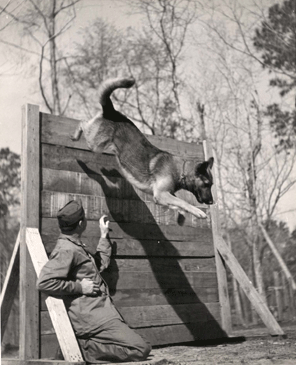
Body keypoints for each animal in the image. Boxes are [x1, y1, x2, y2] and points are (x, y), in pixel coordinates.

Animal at [71, 77, 215, 218]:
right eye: (207, 184)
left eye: (211, 185)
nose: (212, 202)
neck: (181, 171)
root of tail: (112, 111)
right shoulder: (161, 194)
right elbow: (183, 202)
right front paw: (198, 212)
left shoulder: (163, 197)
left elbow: (177, 204)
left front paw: (182, 213)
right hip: (95, 144)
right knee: (82, 122)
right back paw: (74, 136)